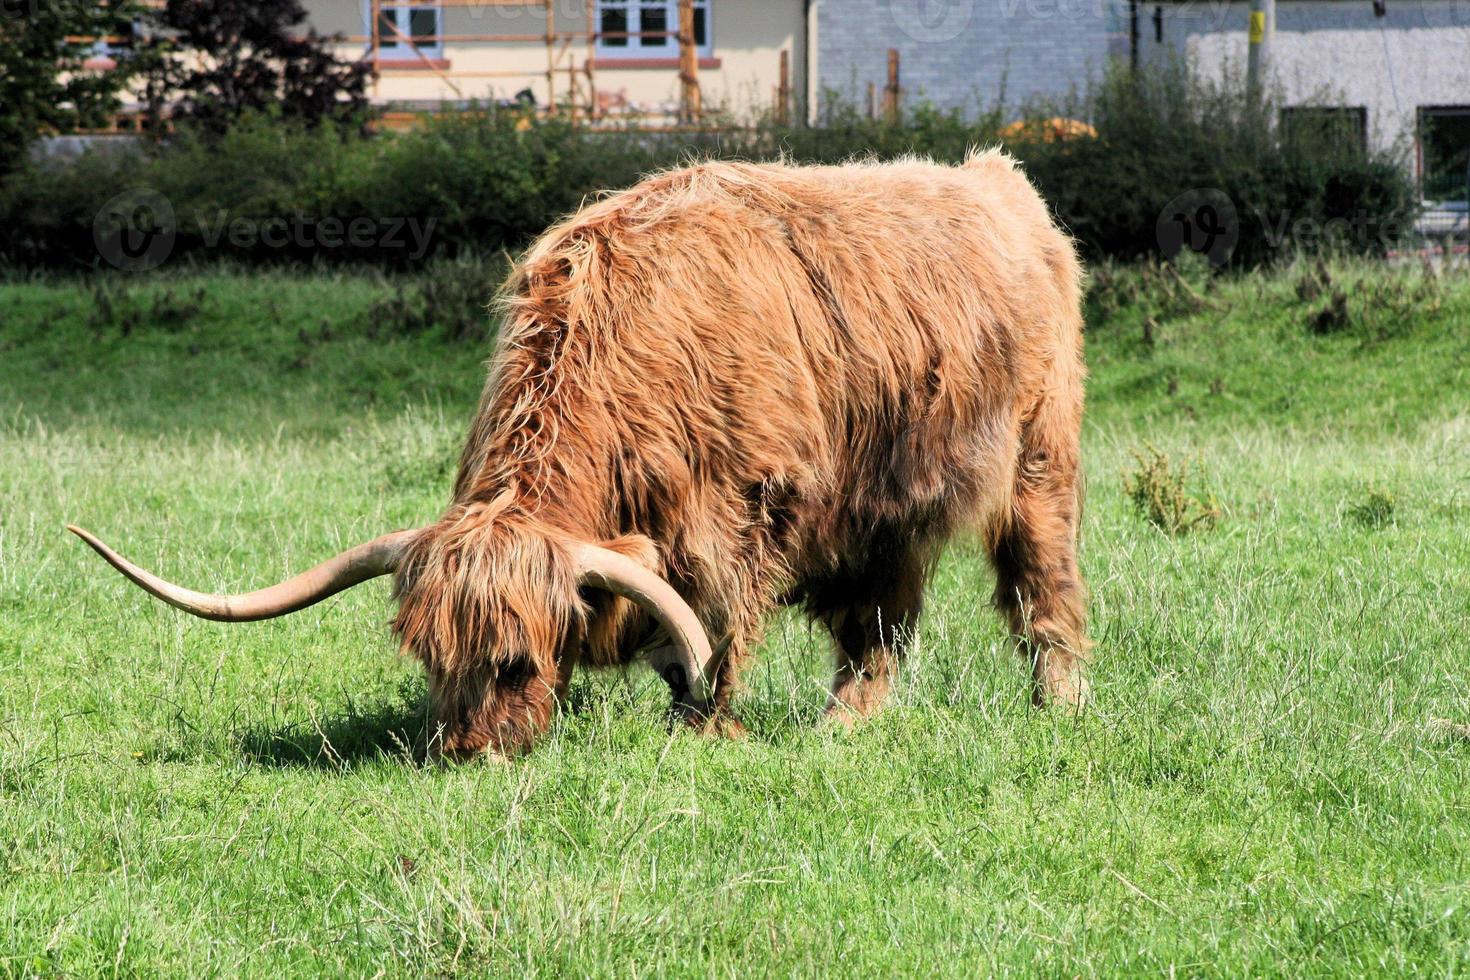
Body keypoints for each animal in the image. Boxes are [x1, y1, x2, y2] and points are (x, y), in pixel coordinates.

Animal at [71, 153, 1093, 764]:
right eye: (431, 658)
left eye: (518, 662)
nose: (468, 753)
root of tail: (999, 178)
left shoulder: (750, 507)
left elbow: (724, 625)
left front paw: (709, 729)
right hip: (890, 499)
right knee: (883, 613)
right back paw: (850, 719)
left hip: (1040, 457)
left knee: (1041, 578)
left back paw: (1061, 703)